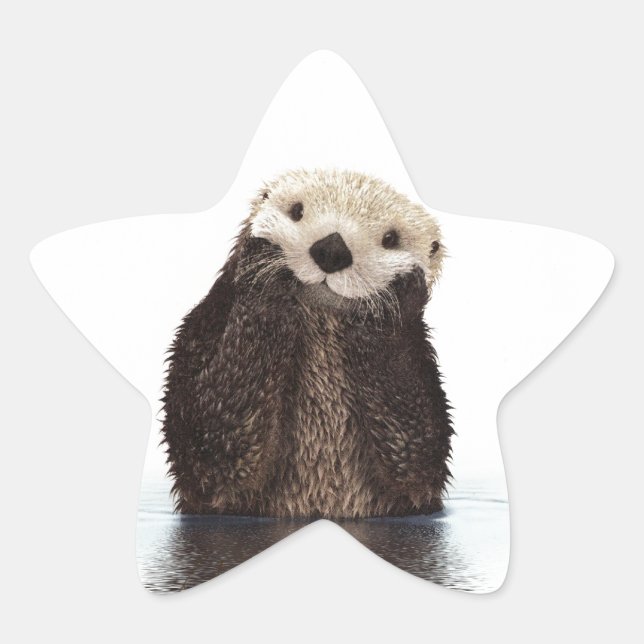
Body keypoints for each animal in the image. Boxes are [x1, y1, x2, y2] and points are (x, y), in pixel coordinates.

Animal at [162, 169, 453, 518]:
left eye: (391, 239)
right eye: (297, 211)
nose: (332, 249)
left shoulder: (421, 370)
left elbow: (416, 454)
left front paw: (392, 300)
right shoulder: (203, 330)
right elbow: (212, 442)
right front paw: (264, 266)